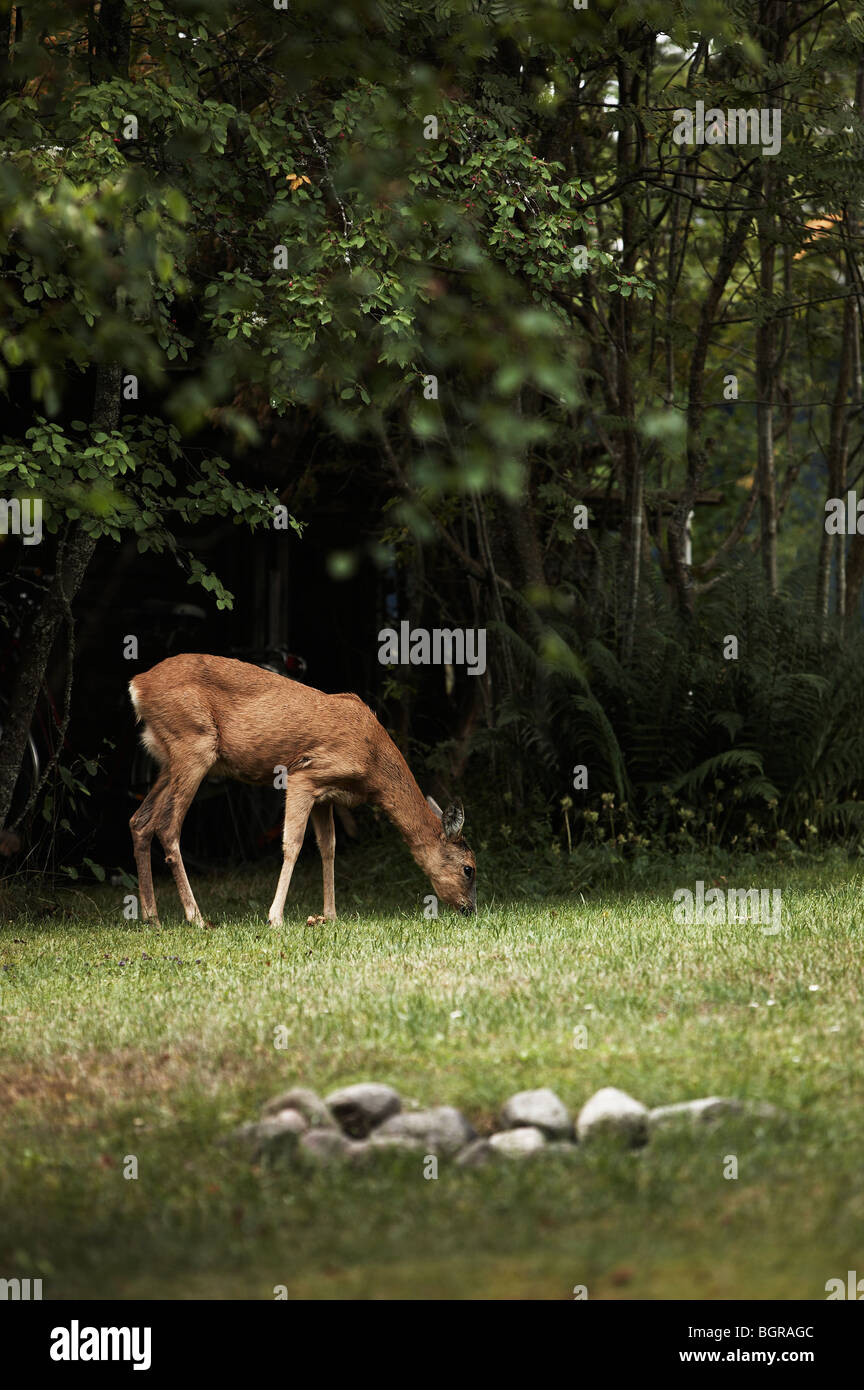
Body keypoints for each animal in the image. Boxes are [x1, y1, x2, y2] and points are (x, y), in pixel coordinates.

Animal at [128, 653, 476, 926]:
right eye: (469, 869)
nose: (470, 909)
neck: (373, 764)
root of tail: (137, 685)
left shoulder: (326, 795)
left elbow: (329, 847)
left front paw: (330, 915)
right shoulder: (305, 775)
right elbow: (293, 844)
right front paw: (275, 917)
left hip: (169, 758)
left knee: (140, 821)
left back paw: (152, 917)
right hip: (194, 745)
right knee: (167, 826)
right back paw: (196, 917)